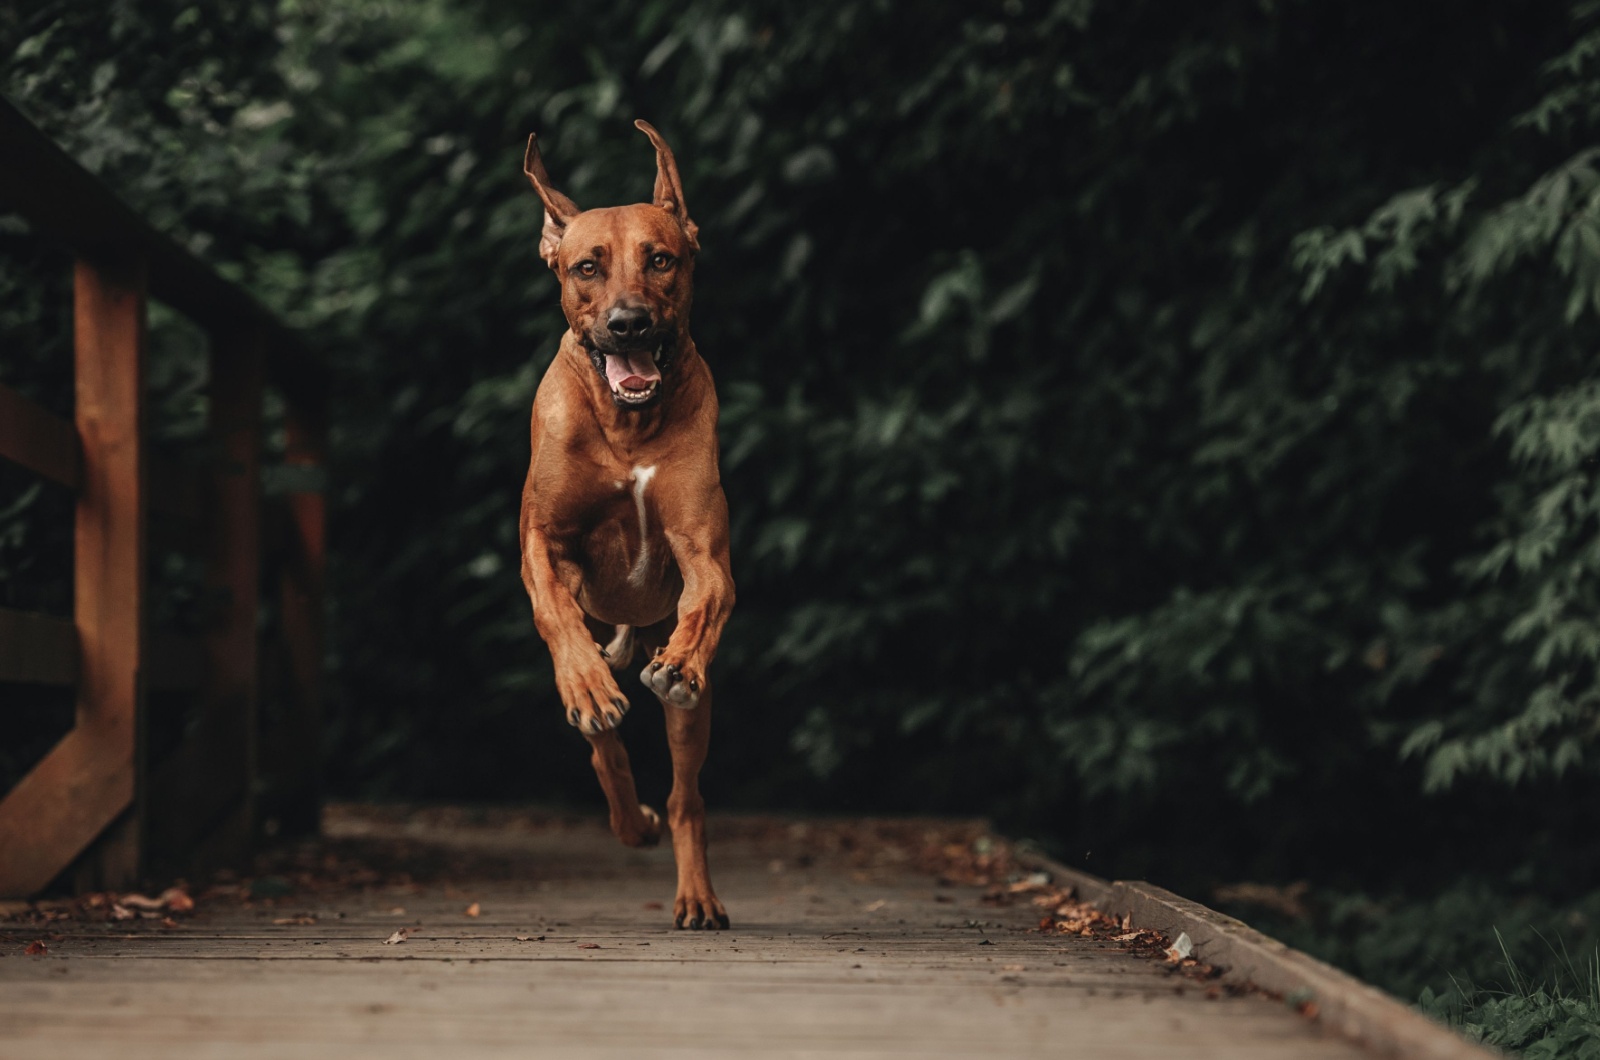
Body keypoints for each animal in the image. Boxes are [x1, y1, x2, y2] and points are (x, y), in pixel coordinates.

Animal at [515, 118, 732, 928]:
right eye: (587, 268)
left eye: (661, 260)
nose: (628, 323)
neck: (627, 426)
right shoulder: (542, 542)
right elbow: (555, 610)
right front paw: (585, 682)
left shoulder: (704, 549)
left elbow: (709, 597)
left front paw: (681, 662)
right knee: (602, 745)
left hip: (692, 722)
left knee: (684, 796)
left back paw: (695, 891)